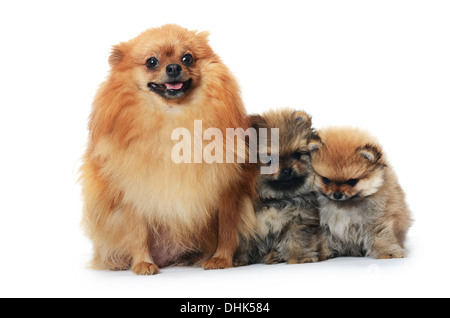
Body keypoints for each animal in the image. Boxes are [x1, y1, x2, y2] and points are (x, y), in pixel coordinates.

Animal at [310, 128, 412, 260]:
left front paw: (389, 251)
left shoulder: (376, 217)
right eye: (325, 180)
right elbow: (322, 239)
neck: (343, 206)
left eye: (352, 181)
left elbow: (381, 234)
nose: (337, 194)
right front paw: (320, 253)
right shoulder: (323, 225)